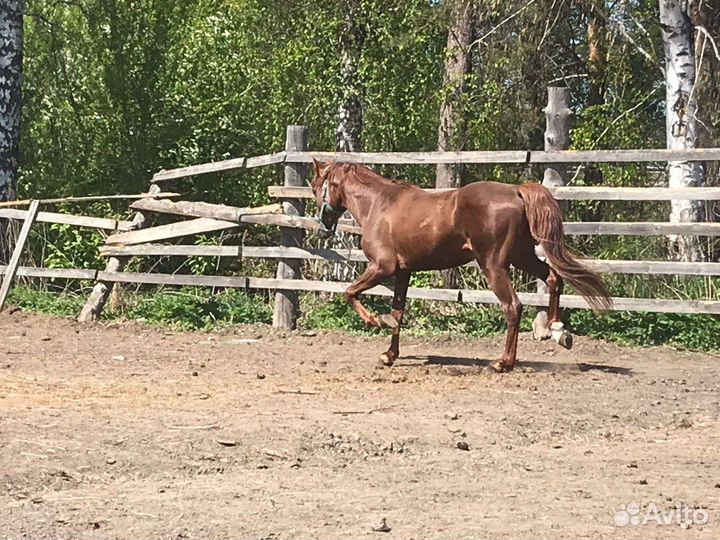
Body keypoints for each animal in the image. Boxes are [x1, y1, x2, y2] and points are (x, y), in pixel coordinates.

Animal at [309, 159, 611, 372]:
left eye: (315, 187)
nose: (323, 227)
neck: (379, 205)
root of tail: (516, 191)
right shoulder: (404, 273)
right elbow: (398, 313)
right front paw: (389, 355)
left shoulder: (382, 267)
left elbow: (350, 293)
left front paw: (375, 320)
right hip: (522, 257)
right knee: (553, 279)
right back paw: (558, 330)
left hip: (494, 265)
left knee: (513, 306)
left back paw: (503, 362)